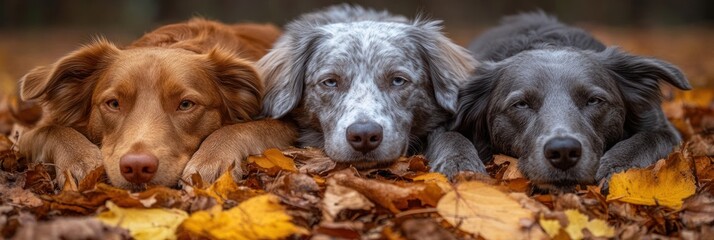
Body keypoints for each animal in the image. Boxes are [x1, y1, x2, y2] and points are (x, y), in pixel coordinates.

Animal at [18, 18, 294, 190]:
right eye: (113, 103)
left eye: (186, 105)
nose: (137, 167)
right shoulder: (28, 134)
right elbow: (51, 129)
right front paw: (81, 160)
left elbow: (241, 128)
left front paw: (212, 160)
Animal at [454, 12, 688, 191]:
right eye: (521, 104)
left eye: (594, 100)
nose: (563, 151)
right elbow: (455, 139)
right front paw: (462, 168)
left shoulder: (664, 129)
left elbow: (644, 140)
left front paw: (615, 167)